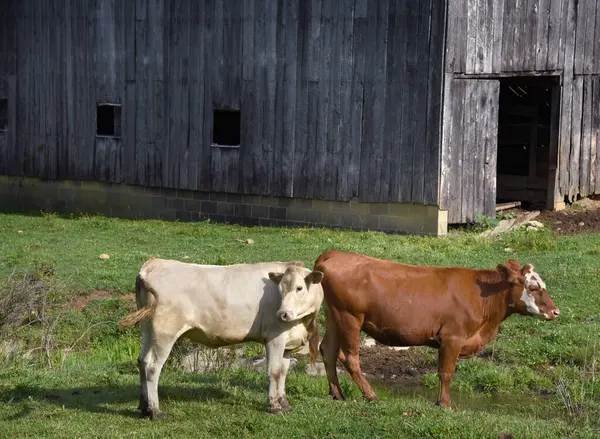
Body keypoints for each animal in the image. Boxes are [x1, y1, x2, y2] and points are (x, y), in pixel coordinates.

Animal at [118, 260, 324, 418]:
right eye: (280, 290)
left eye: (299, 288)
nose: (282, 314)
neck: (302, 322)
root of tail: (154, 263)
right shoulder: (275, 337)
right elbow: (273, 371)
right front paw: (274, 405)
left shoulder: (289, 344)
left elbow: (283, 372)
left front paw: (285, 403)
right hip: (164, 332)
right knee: (153, 367)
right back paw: (155, 411)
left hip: (148, 329)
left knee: (143, 361)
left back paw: (144, 407)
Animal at [312, 251, 560, 410]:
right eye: (533, 287)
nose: (556, 311)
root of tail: (336, 254)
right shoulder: (452, 337)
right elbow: (446, 372)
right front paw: (445, 404)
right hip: (349, 318)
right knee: (350, 358)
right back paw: (371, 396)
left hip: (334, 316)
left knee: (328, 350)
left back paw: (337, 394)